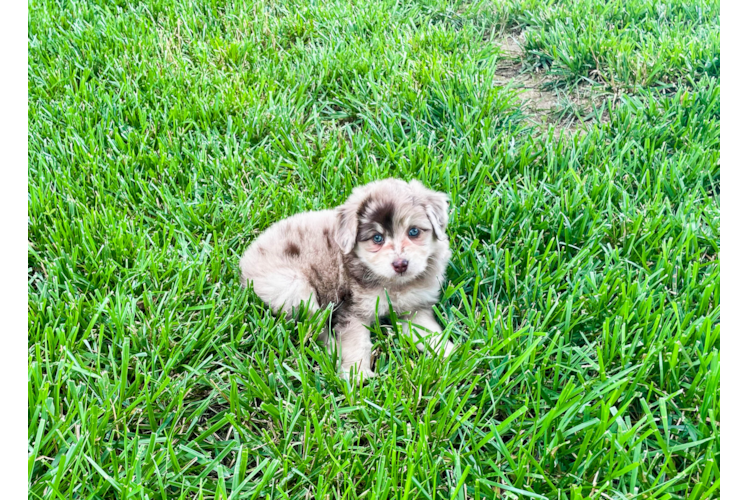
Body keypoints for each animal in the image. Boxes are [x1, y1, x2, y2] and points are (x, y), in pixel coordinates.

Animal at [240, 180, 452, 378]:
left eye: (414, 231)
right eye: (377, 238)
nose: (400, 264)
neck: (393, 285)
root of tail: (246, 261)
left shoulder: (415, 309)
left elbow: (431, 334)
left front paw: (452, 355)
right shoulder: (353, 311)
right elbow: (357, 343)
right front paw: (358, 377)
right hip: (295, 288)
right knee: (316, 329)